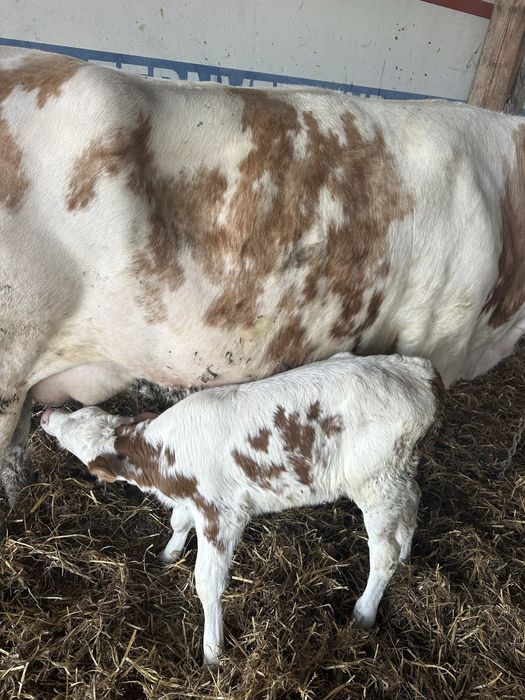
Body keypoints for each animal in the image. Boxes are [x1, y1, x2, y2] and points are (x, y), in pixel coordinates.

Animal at [40, 351, 443, 665]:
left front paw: (212, 652)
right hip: (399, 473)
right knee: (412, 505)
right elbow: (178, 520)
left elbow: (207, 583)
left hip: (375, 481)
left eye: (69, 436)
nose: (45, 414)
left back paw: (364, 611)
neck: (164, 454)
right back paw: (407, 554)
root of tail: (417, 372)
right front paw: (168, 554)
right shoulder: (195, 499)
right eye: (78, 414)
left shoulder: (221, 513)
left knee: (383, 553)